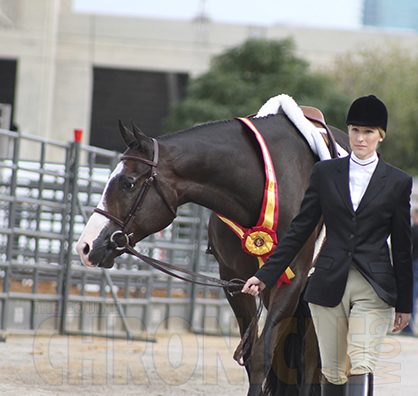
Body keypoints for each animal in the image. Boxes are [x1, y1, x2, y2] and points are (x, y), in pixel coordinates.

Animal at [76, 110, 352, 396]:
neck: (266, 181)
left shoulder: (291, 281)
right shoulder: (236, 283)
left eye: (128, 183)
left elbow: (263, 357)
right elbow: (251, 356)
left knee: (313, 360)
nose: (86, 246)